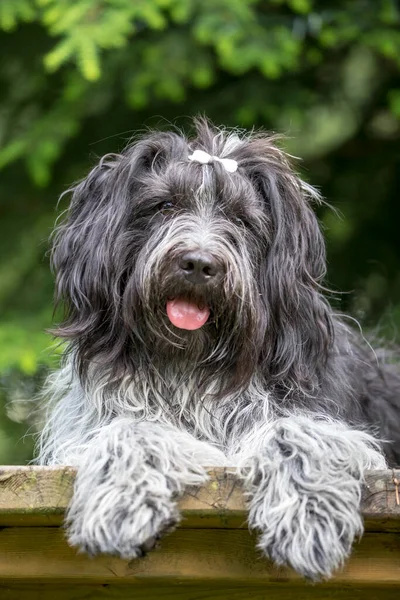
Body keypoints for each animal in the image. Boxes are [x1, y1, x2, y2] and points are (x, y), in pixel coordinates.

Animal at [37, 118, 400, 580]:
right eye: (165, 206)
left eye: (242, 220)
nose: (198, 264)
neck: (190, 367)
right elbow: (131, 428)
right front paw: (121, 503)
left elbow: (296, 430)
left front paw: (308, 517)